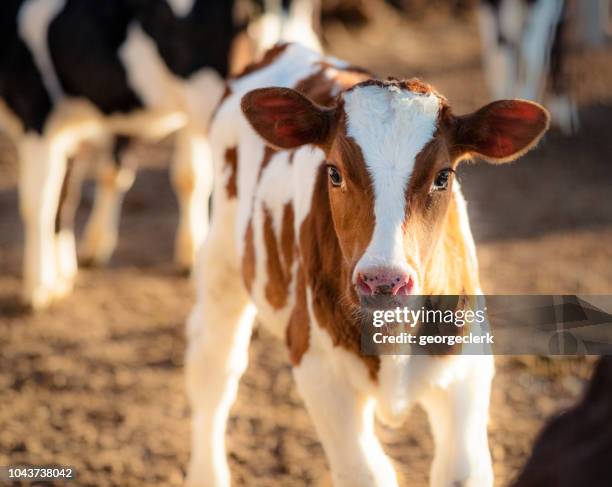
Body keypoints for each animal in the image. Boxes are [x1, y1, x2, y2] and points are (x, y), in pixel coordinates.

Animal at [2, 0, 320, 310]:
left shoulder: (35, 107)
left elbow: (38, 202)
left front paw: (39, 288)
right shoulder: (66, 124)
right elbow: (66, 193)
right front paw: (63, 274)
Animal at [184, 43, 548, 487]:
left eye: (443, 176)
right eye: (335, 173)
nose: (383, 281)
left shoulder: (467, 368)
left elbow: (461, 470)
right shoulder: (319, 369)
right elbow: (367, 472)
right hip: (222, 256)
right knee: (214, 366)